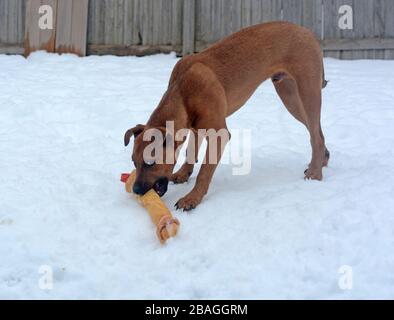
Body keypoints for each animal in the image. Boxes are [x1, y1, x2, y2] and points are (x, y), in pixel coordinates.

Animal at [125, 21, 330, 211]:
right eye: (134, 162)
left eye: (150, 163)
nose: (136, 190)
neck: (182, 90)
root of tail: (307, 31)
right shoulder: (195, 126)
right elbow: (191, 150)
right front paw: (184, 174)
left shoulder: (219, 134)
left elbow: (204, 172)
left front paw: (192, 198)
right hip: (290, 97)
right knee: (317, 132)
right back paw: (322, 161)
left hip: (306, 93)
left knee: (316, 136)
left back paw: (315, 173)